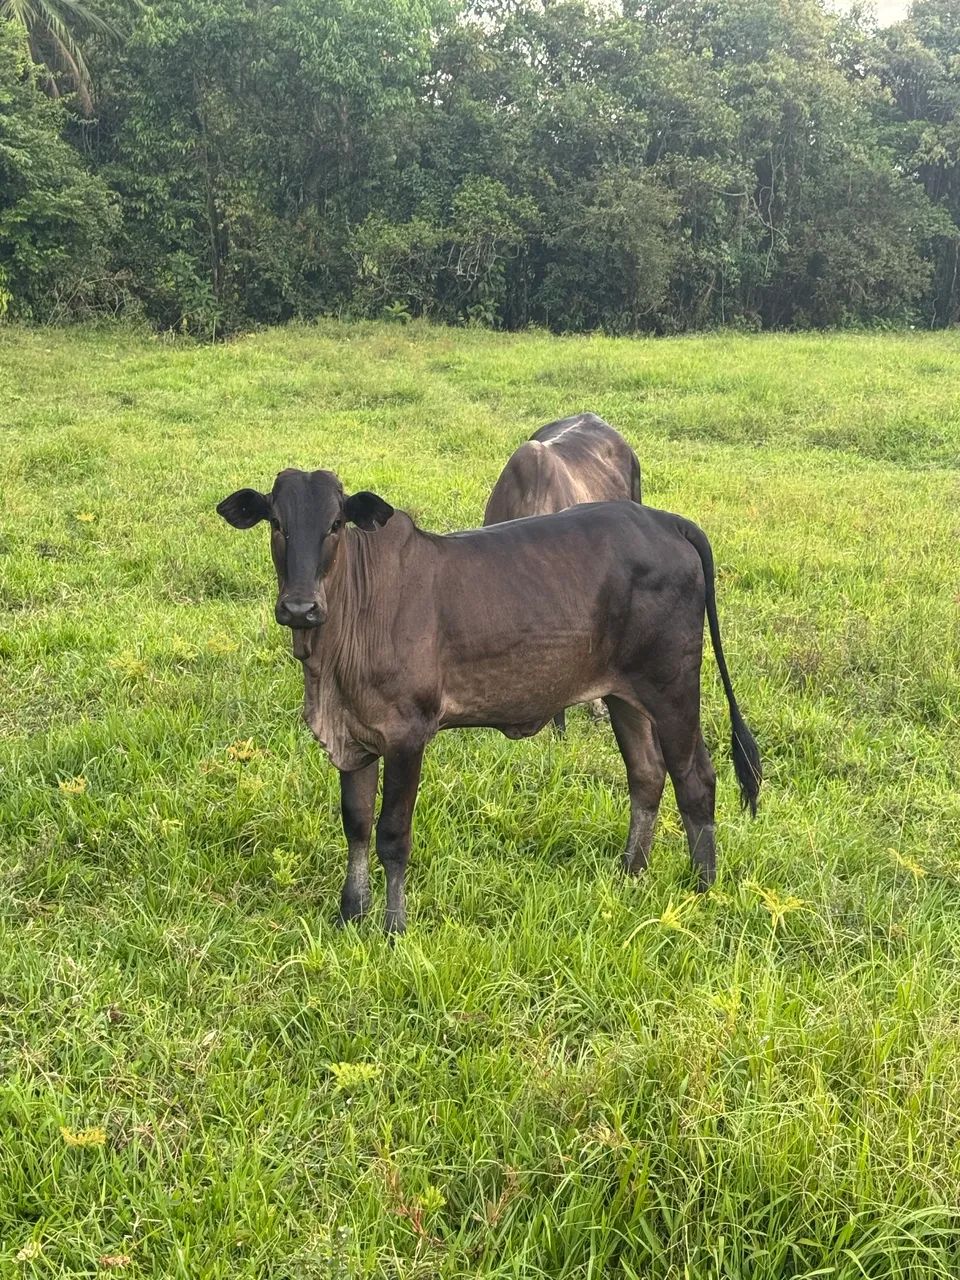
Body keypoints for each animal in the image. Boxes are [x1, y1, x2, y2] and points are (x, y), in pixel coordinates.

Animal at [217, 468, 761, 934]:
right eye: (276, 523)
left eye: (335, 524)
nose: (300, 607)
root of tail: (667, 521)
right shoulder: (355, 736)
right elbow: (356, 825)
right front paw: (350, 913)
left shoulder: (407, 734)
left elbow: (392, 834)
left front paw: (394, 928)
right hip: (623, 694)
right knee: (646, 775)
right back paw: (630, 871)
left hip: (672, 688)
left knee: (695, 779)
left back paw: (701, 887)